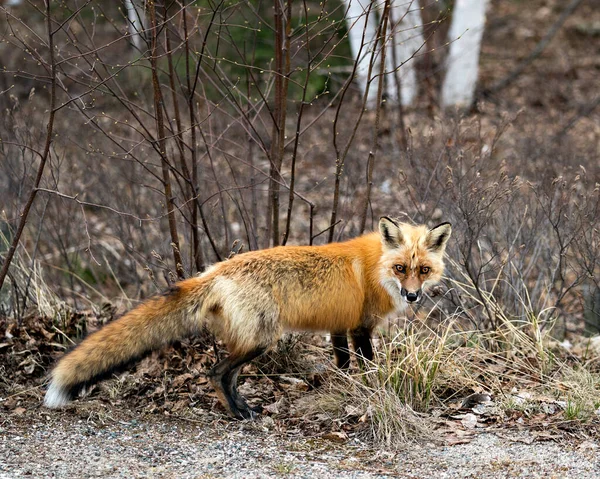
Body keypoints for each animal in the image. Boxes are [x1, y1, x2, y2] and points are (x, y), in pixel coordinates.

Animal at [44, 218, 450, 420]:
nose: (412, 296)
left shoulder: (340, 326)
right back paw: (239, 414)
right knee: (217, 372)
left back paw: (244, 409)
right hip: (261, 340)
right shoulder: (361, 326)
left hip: (250, 340)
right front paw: (373, 392)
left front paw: (343, 390)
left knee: (229, 377)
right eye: (400, 268)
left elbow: (343, 363)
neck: (375, 267)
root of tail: (215, 270)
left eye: (423, 270)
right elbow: (367, 366)